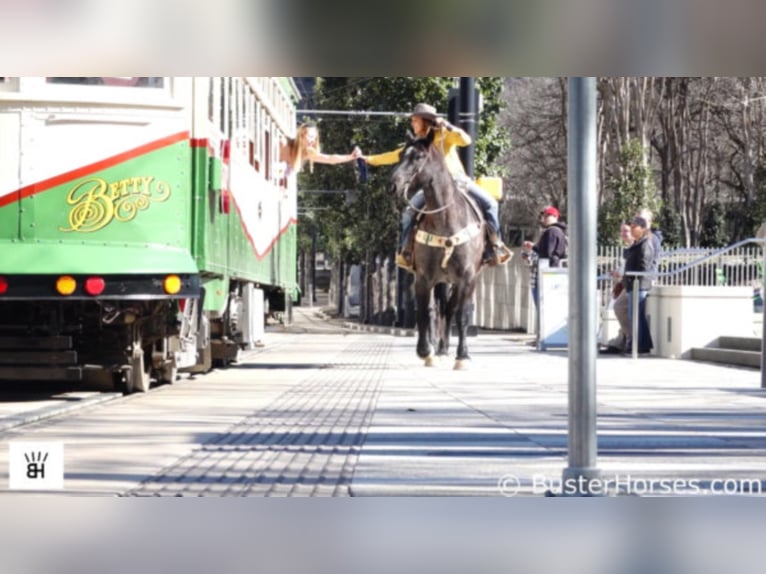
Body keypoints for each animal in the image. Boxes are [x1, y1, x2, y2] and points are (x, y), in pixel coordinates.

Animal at [390, 131, 486, 372]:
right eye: (400, 155)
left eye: (418, 157)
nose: (392, 186)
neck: (446, 220)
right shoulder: (424, 277)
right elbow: (425, 313)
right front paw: (425, 351)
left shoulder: (467, 278)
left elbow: (462, 315)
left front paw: (462, 356)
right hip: (441, 280)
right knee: (440, 310)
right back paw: (439, 350)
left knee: (451, 311)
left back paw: (446, 350)